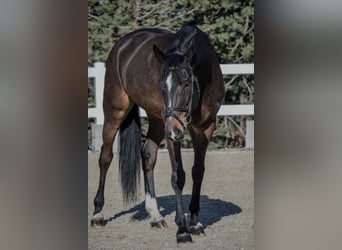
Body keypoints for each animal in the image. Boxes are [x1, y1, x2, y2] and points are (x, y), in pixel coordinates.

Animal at [91, 24, 224, 243]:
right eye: (161, 85)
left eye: (186, 83)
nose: (173, 130)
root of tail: (123, 44)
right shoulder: (172, 132)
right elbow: (178, 176)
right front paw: (182, 229)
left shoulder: (205, 127)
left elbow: (198, 171)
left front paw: (195, 223)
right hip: (116, 112)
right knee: (105, 157)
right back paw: (97, 214)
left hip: (156, 120)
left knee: (148, 155)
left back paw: (155, 216)